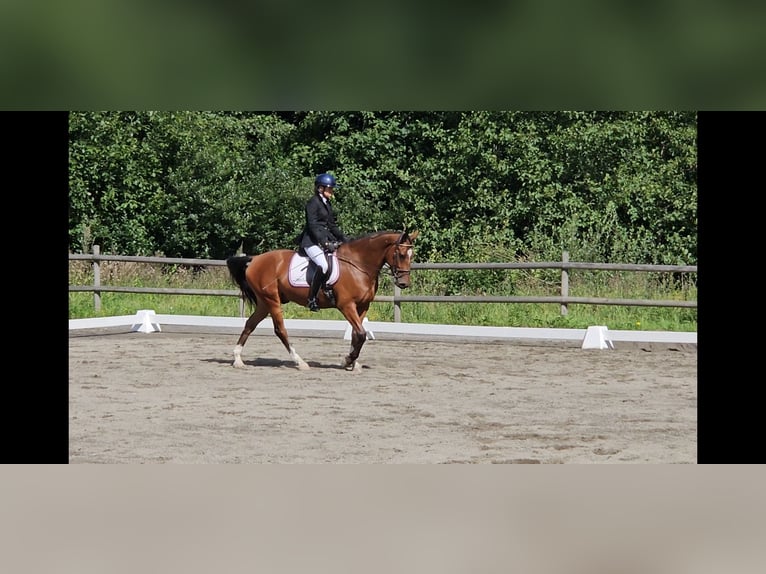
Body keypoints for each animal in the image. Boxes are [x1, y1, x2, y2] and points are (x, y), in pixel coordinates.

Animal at [226, 229, 419, 372]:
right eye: (401, 254)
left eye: (412, 255)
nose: (404, 283)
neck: (358, 265)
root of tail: (255, 260)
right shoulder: (346, 305)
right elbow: (361, 333)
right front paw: (347, 360)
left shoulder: (363, 306)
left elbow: (357, 334)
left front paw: (352, 362)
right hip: (272, 301)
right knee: (280, 330)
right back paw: (300, 362)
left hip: (264, 303)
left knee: (250, 324)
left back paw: (238, 359)